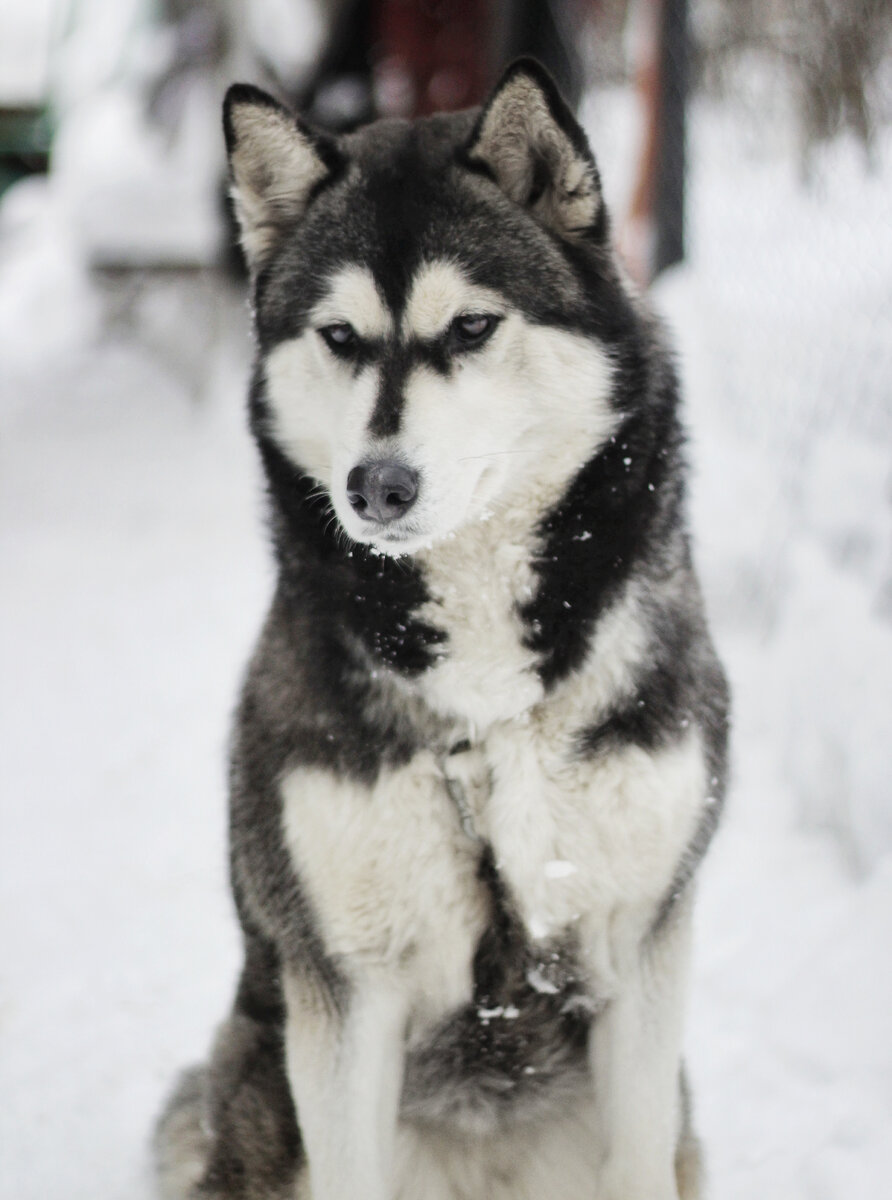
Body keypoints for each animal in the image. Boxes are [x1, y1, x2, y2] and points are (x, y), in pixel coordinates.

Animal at [157, 60, 734, 1200]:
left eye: (470, 327)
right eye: (339, 336)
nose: (376, 486)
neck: (492, 711)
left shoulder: (642, 948)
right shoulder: (344, 990)